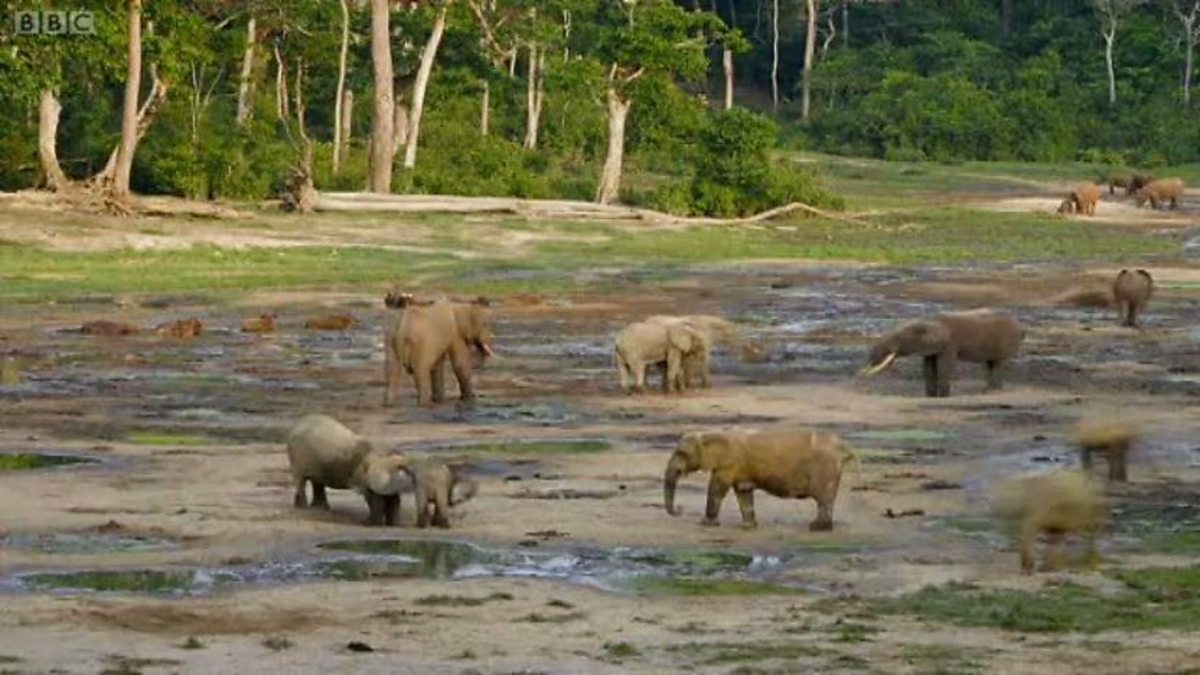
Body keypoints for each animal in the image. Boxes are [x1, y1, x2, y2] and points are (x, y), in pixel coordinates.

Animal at [663, 428, 854, 531]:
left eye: (682, 453)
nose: (680, 509)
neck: (709, 434)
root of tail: (843, 447)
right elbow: (744, 491)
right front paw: (748, 527)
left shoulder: (729, 463)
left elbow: (717, 488)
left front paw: (706, 524)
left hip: (826, 470)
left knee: (823, 499)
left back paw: (816, 528)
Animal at [861, 309, 1024, 398]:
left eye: (899, 338)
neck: (930, 321)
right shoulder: (930, 348)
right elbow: (928, 367)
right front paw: (930, 397)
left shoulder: (949, 345)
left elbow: (944, 366)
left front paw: (943, 397)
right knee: (990, 364)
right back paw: (988, 391)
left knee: (997, 364)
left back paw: (992, 392)